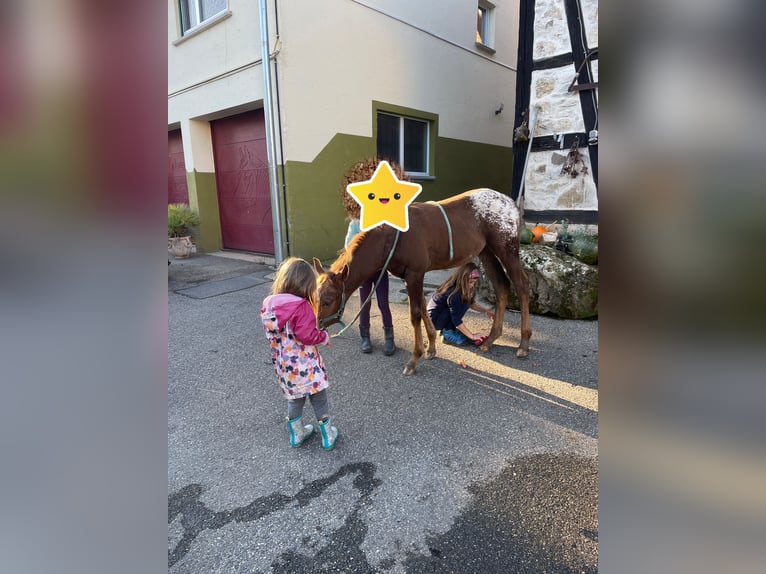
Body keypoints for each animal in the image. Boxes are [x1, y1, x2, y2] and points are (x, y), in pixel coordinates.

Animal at [316, 189, 532, 378]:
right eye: (315, 298)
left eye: (327, 300)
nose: (319, 327)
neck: (393, 236)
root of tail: (511, 203)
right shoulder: (411, 276)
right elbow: (422, 309)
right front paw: (431, 348)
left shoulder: (415, 273)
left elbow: (415, 315)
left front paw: (414, 360)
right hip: (486, 251)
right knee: (501, 285)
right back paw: (491, 338)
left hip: (507, 251)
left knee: (521, 285)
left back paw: (523, 344)